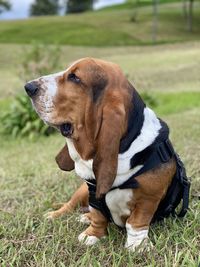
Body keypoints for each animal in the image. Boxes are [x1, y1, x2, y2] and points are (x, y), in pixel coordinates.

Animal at [24, 58, 190, 251]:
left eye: (74, 77)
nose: (28, 87)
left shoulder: (149, 198)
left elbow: (136, 222)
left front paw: (137, 245)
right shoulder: (92, 191)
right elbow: (98, 215)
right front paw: (92, 234)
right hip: (81, 191)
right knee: (70, 205)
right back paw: (58, 215)